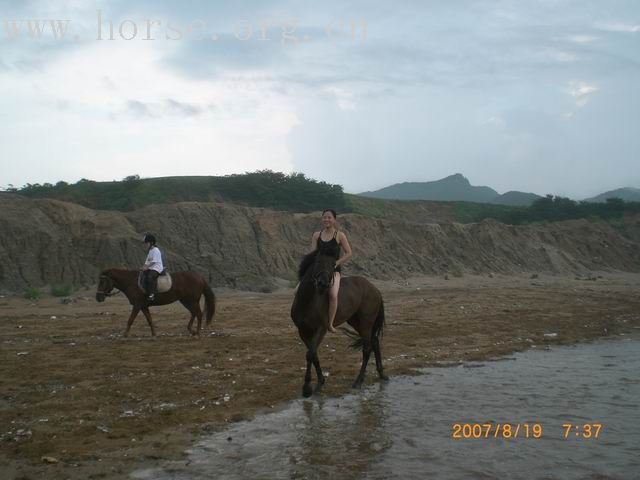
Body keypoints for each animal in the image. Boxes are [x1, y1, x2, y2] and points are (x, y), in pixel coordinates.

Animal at [292, 249, 388, 396]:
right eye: (317, 262)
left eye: (333, 265)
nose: (323, 284)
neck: (308, 302)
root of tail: (374, 288)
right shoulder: (302, 331)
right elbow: (314, 355)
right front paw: (320, 383)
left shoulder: (320, 329)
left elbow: (310, 354)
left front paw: (307, 388)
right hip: (356, 322)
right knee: (375, 341)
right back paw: (381, 374)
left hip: (366, 323)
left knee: (367, 349)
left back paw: (358, 381)